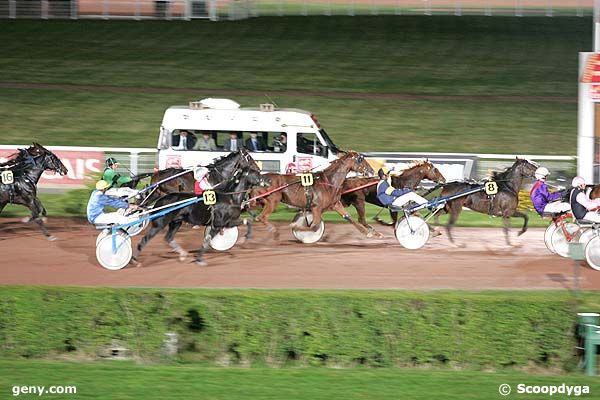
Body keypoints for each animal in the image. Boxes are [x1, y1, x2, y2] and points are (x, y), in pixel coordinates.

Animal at [136, 152, 270, 264]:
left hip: (159, 197)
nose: (260, 169)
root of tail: (157, 173)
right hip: (165, 203)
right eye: (249, 158)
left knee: (143, 204)